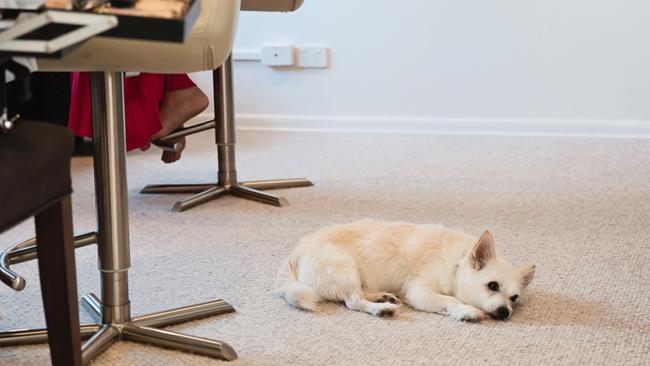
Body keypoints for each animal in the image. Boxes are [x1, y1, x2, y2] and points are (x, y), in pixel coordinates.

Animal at [272, 219, 532, 322]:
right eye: (492, 285)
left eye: (514, 298)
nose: (505, 312)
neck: (456, 262)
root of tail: (295, 254)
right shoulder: (421, 292)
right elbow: (450, 300)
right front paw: (466, 311)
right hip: (343, 268)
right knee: (353, 300)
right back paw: (380, 308)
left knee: (359, 293)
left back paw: (382, 296)